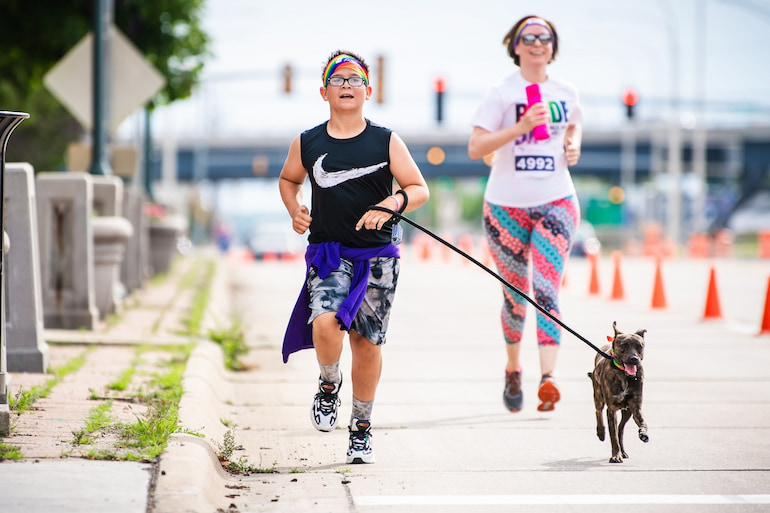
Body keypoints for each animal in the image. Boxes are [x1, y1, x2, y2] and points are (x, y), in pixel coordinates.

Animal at [588, 322, 648, 462]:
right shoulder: (612, 409)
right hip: (598, 395)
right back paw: (601, 432)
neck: (624, 375)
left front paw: (643, 433)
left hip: (627, 411)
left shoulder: (636, 406)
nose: (634, 358)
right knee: (598, 411)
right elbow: (613, 436)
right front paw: (616, 455)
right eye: (624, 345)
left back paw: (623, 451)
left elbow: (643, 421)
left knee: (620, 428)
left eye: (639, 346)